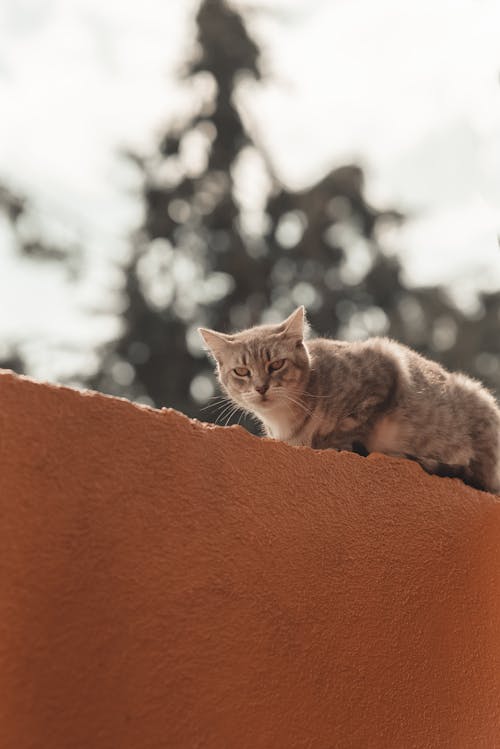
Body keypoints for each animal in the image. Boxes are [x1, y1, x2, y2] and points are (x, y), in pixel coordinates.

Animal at [198, 306, 500, 494]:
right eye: (241, 371)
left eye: (276, 364)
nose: (261, 387)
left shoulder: (386, 365)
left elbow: (349, 428)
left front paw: (331, 444)